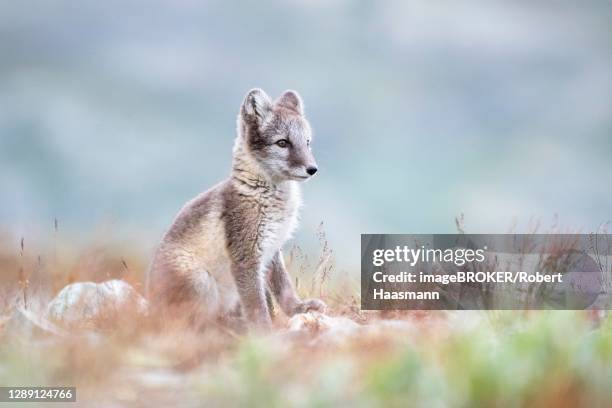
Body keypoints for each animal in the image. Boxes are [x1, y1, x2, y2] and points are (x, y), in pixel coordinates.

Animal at [148, 87, 328, 330]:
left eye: (307, 143)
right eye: (283, 143)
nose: (312, 169)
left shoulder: (272, 249)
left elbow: (284, 289)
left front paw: (298, 309)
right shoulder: (247, 256)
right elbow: (257, 306)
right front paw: (265, 332)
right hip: (201, 281)